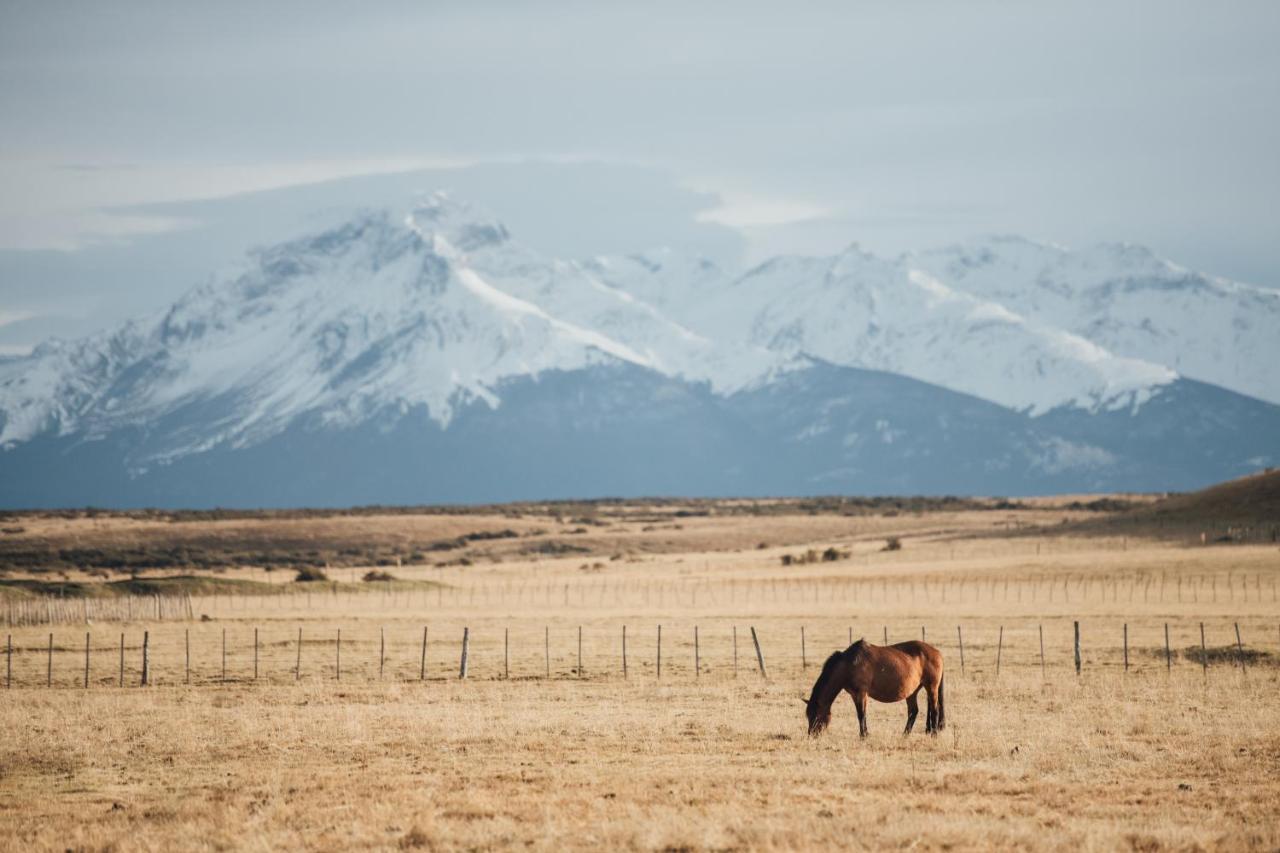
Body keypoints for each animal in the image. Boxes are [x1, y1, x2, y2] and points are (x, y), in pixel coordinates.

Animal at [803, 635, 947, 732]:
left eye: (815, 715)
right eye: (808, 715)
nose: (812, 735)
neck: (849, 664)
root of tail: (937, 652)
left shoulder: (861, 693)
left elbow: (861, 714)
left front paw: (864, 736)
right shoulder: (854, 694)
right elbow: (860, 714)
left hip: (932, 687)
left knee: (935, 709)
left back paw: (933, 733)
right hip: (913, 691)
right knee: (914, 712)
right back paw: (905, 735)